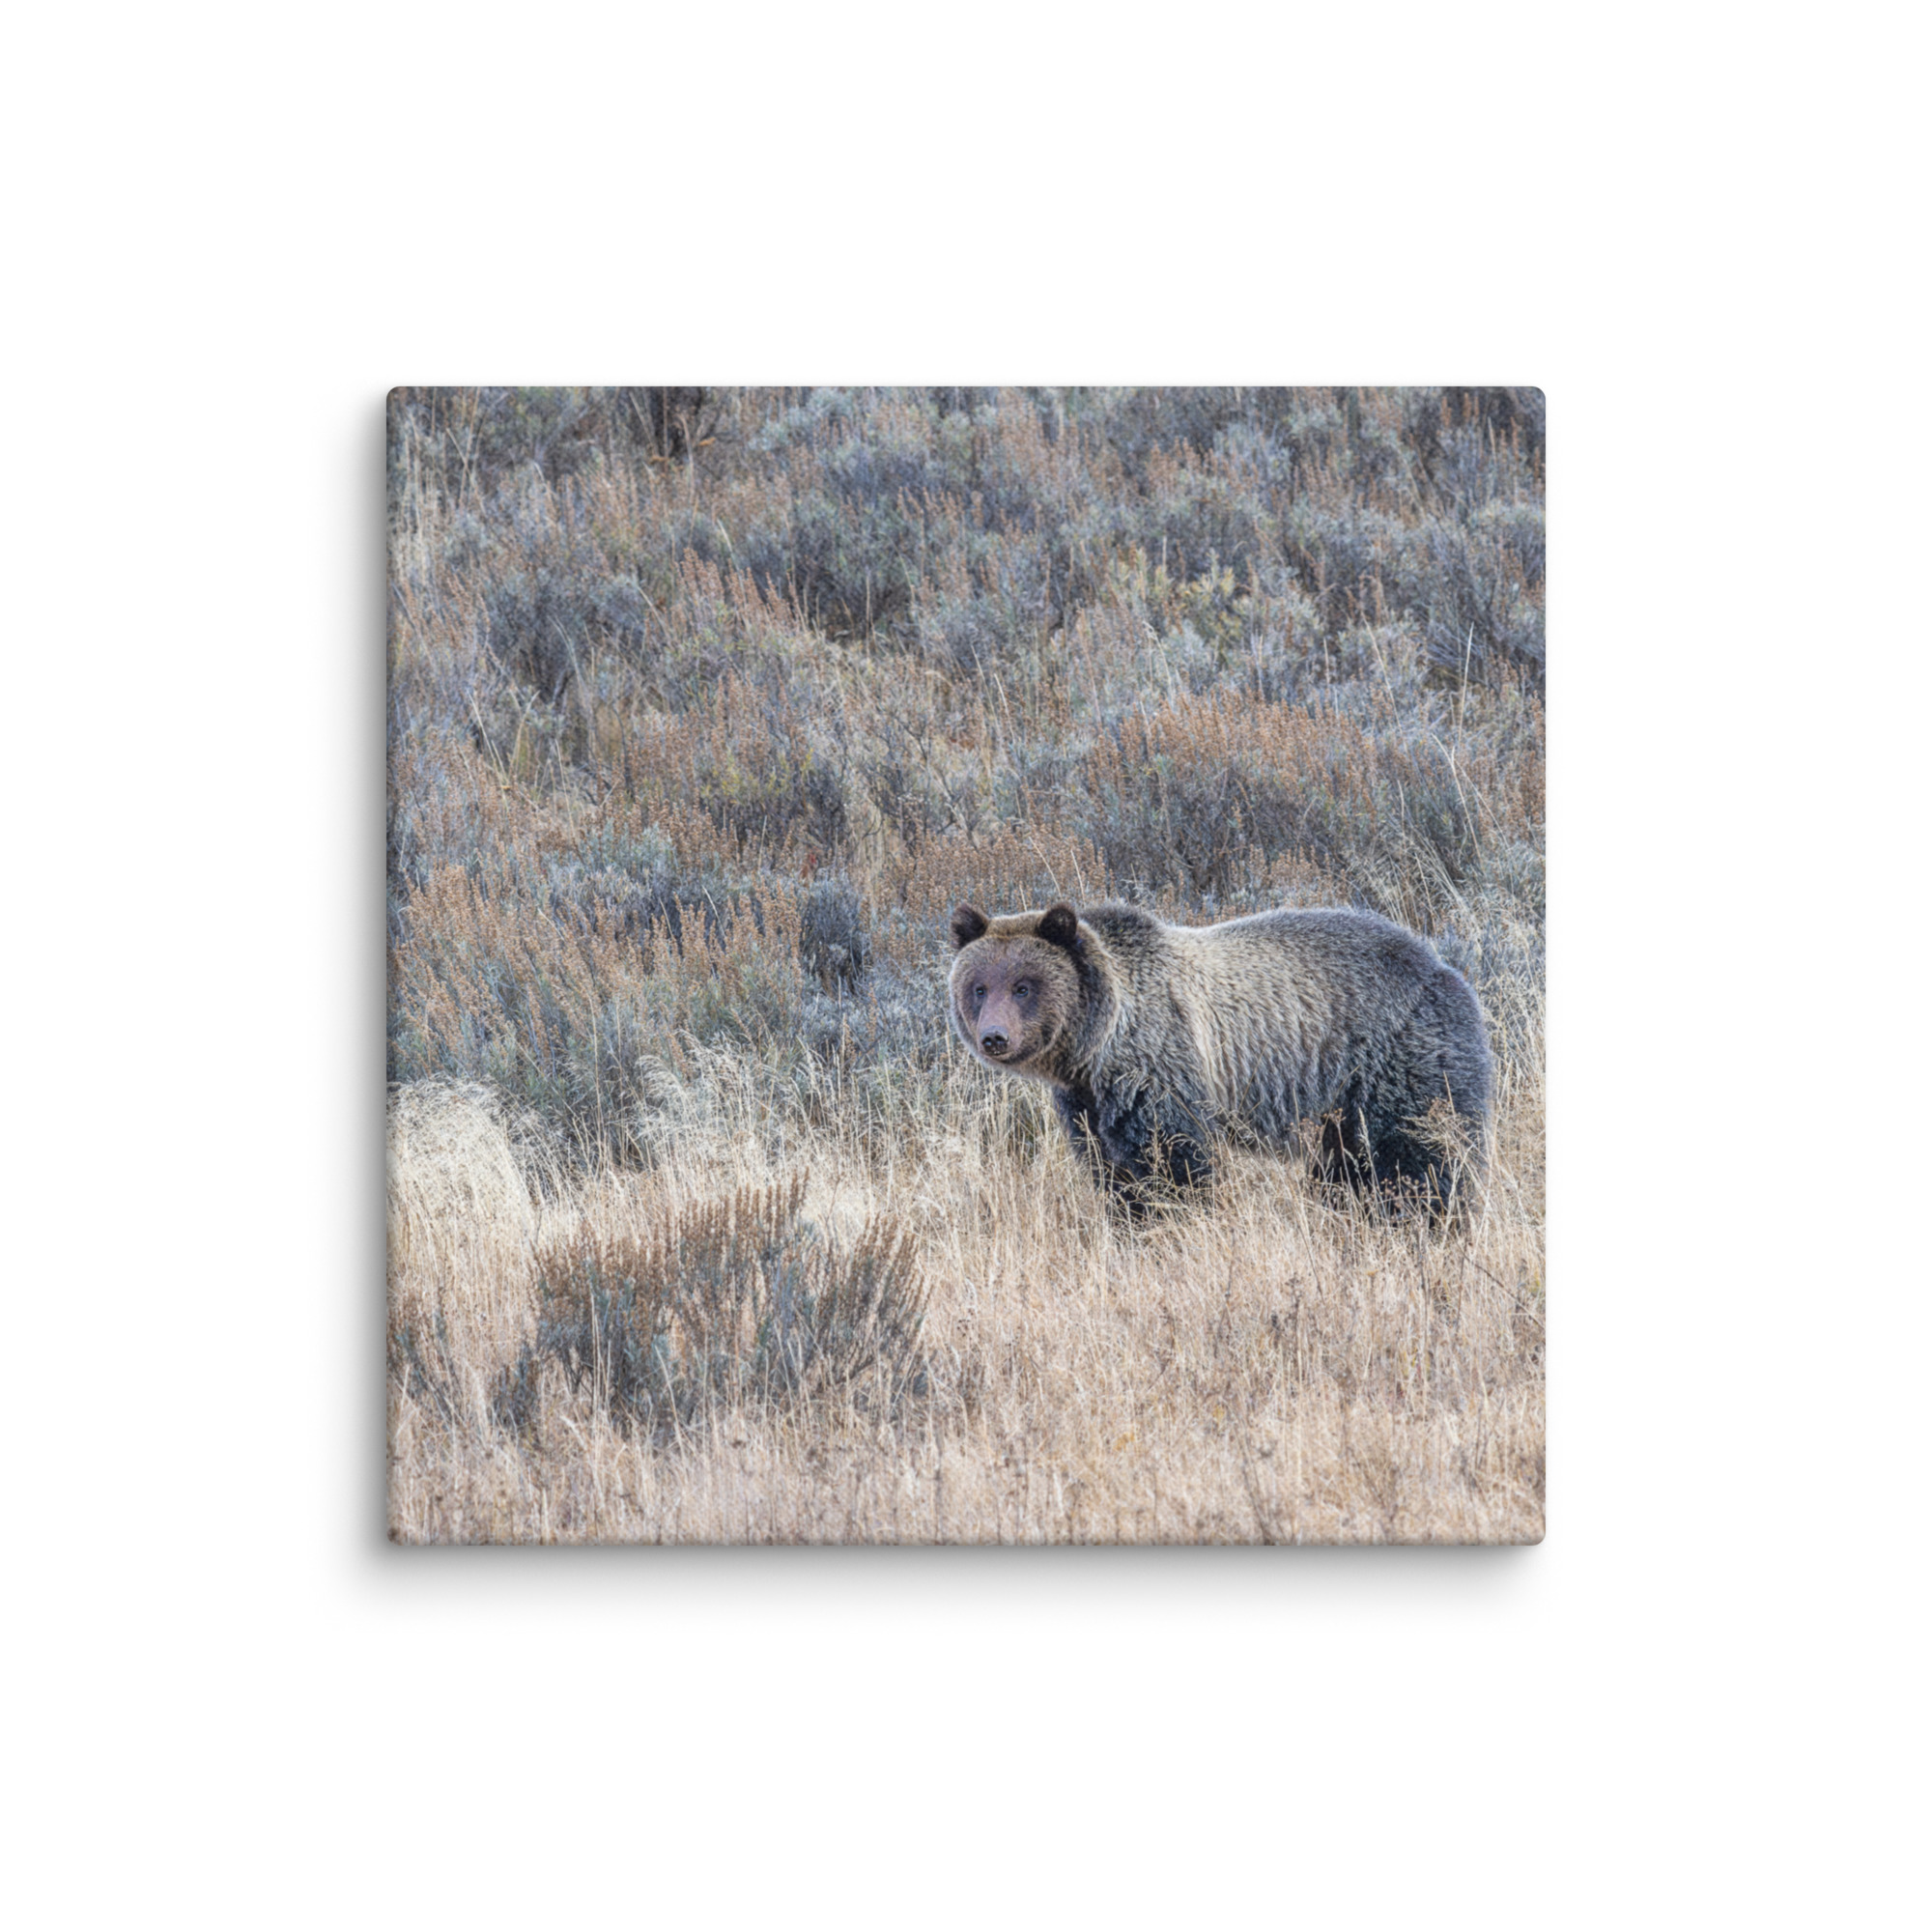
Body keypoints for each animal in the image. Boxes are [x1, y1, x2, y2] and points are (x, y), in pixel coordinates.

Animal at [948, 899, 1491, 1216]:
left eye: (1024, 986)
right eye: (979, 987)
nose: (994, 1037)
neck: (1096, 1048)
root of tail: (1443, 966)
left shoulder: (1161, 1068)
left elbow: (1176, 1164)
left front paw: (1177, 1221)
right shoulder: (1087, 1104)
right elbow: (1112, 1173)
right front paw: (1130, 1220)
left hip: (1398, 1059)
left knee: (1420, 1156)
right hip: (1340, 1106)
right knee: (1346, 1170)